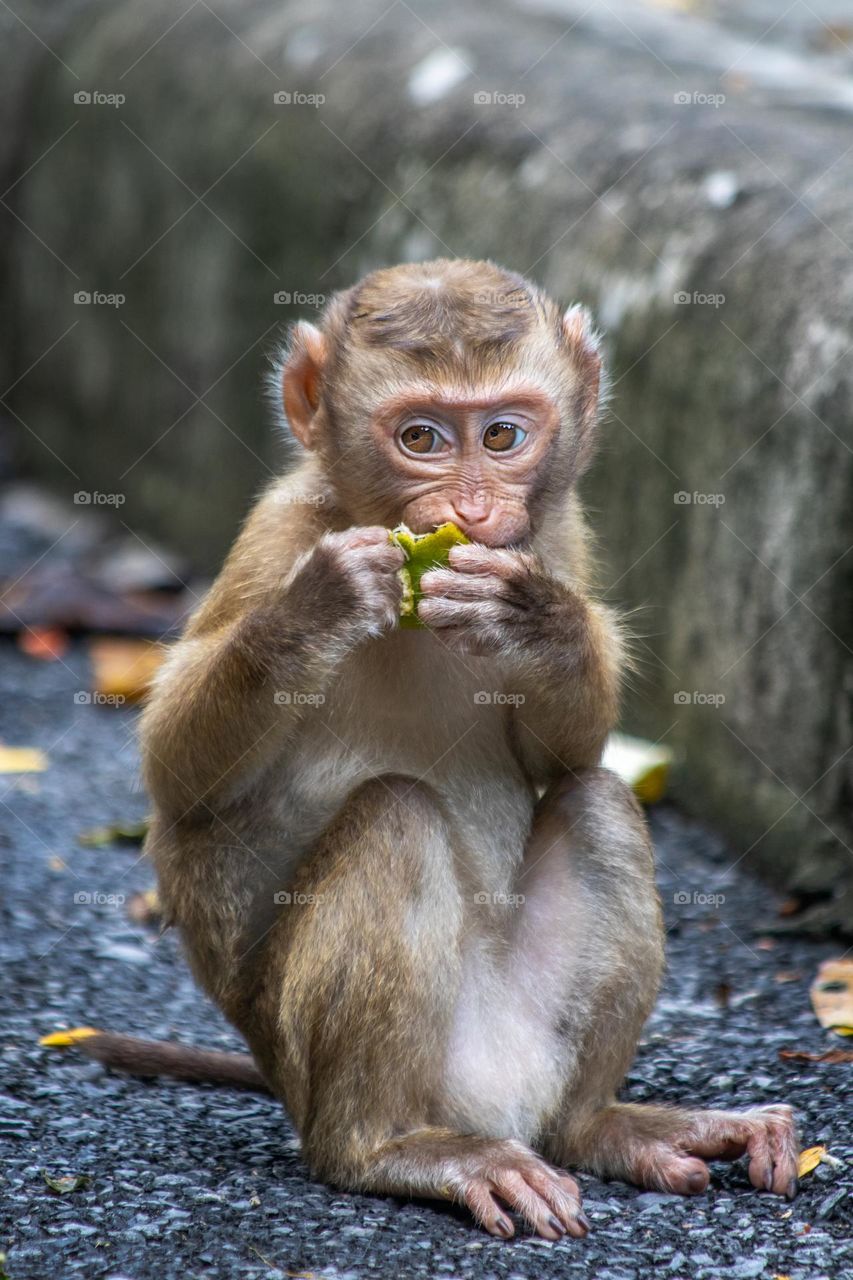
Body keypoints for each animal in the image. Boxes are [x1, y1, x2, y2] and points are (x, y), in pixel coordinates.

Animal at [131, 257, 788, 1239]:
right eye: (421, 437)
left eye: (503, 434)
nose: (472, 509)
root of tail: (492, 1104)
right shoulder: (277, 534)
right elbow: (179, 781)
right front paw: (318, 608)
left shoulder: (555, 531)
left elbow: (564, 758)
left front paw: (536, 620)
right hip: (313, 1057)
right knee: (394, 816)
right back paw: (390, 1148)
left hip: (522, 1036)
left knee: (597, 799)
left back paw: (599, 1127)